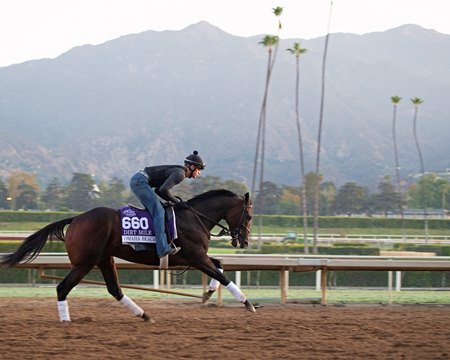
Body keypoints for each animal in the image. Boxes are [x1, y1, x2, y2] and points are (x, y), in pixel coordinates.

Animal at [0, 190, 255, 322]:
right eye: (250, 216)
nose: (244, 241)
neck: (194, 217)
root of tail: (76, 218)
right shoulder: (195, 257)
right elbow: (223, 275)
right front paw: (248, 304)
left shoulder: (193, 258)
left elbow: (220, 265)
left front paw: (207, 293)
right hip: (85, 262)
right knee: (62, 288)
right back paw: (65, 320)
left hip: (104, 259)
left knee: (114, 289)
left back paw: (144, 315)